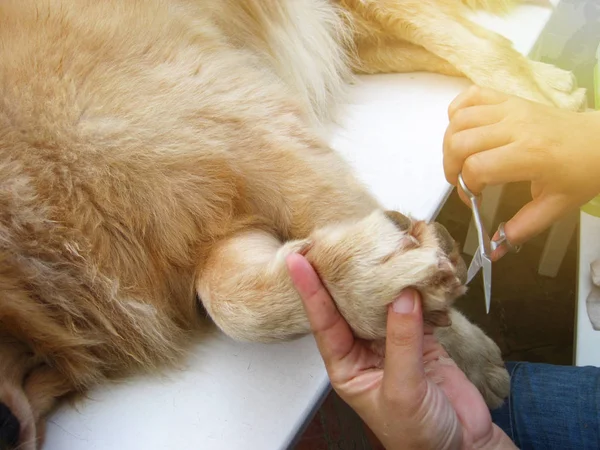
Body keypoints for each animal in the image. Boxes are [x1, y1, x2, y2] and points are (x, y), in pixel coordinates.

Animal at [0, 0, 584, 448]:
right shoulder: (197, 215)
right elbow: (233, 302)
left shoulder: (236, 123)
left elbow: (329, 208)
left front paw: (462, 351)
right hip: (351, 41)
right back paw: (556, 87)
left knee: (481, 45)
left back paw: (553, 124)